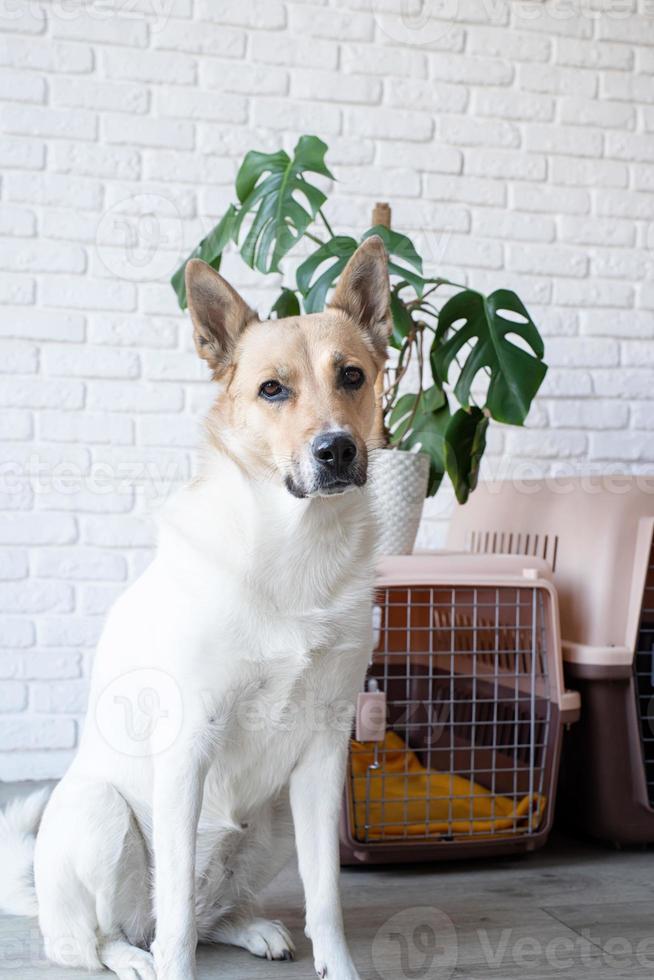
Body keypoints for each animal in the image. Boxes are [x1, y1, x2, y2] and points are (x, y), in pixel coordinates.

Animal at [0, 237, 392, 980]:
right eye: (273, 389)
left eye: (352, 375)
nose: (336, 450)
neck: (294, 550)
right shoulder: (186, 748)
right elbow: (177, 918)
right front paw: (169, 967)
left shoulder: (324, 755)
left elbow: (325, 895)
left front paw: (340, 966)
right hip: (102, 815)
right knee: (110, 935)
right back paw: (132, 957)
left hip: (272, 821)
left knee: (209, 915)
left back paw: (252, 929)